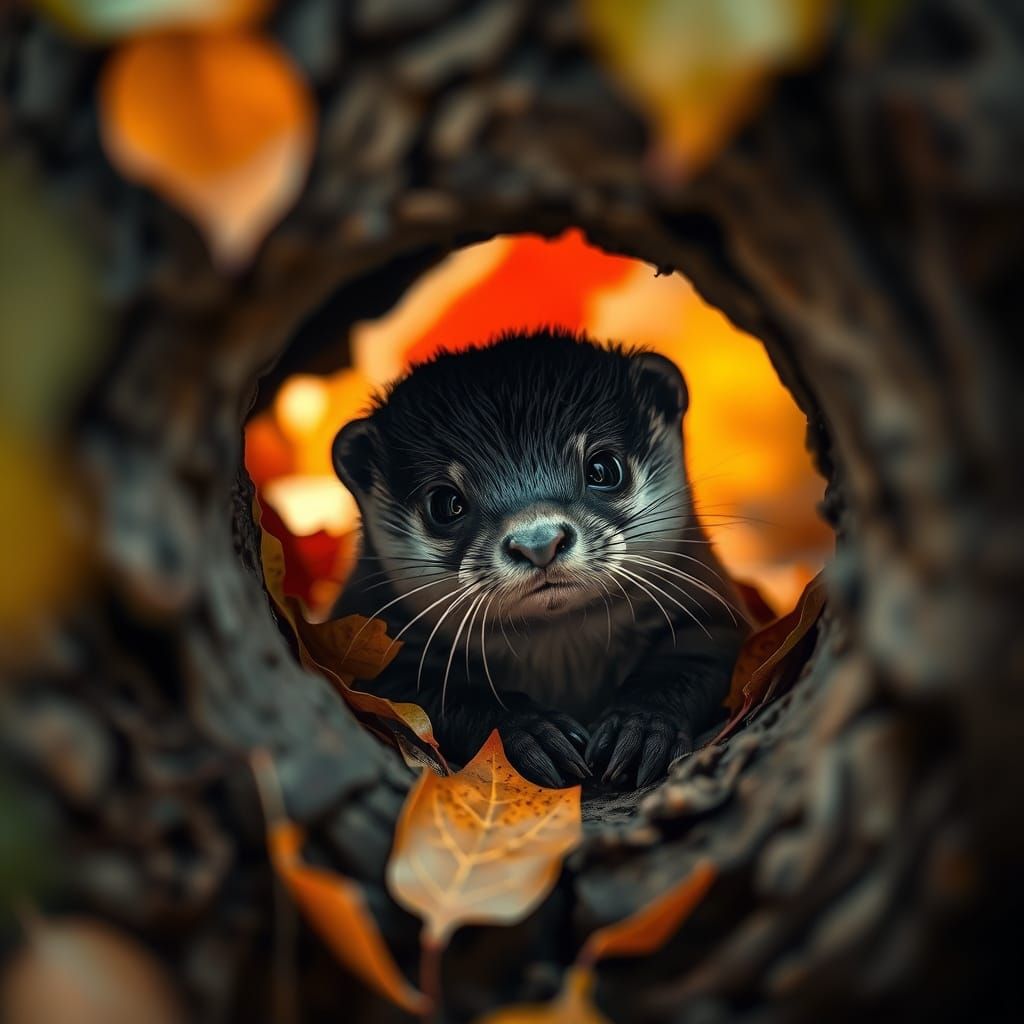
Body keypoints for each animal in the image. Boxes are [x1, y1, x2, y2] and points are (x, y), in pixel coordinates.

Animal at [331, 330, 747, 788]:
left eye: (603, 468)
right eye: (445, 503)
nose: (538, 541)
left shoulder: (711, 613)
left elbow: (684, 666)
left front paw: (639, 730)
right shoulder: (386, 651)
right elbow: (442, 696)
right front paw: (533, 732)